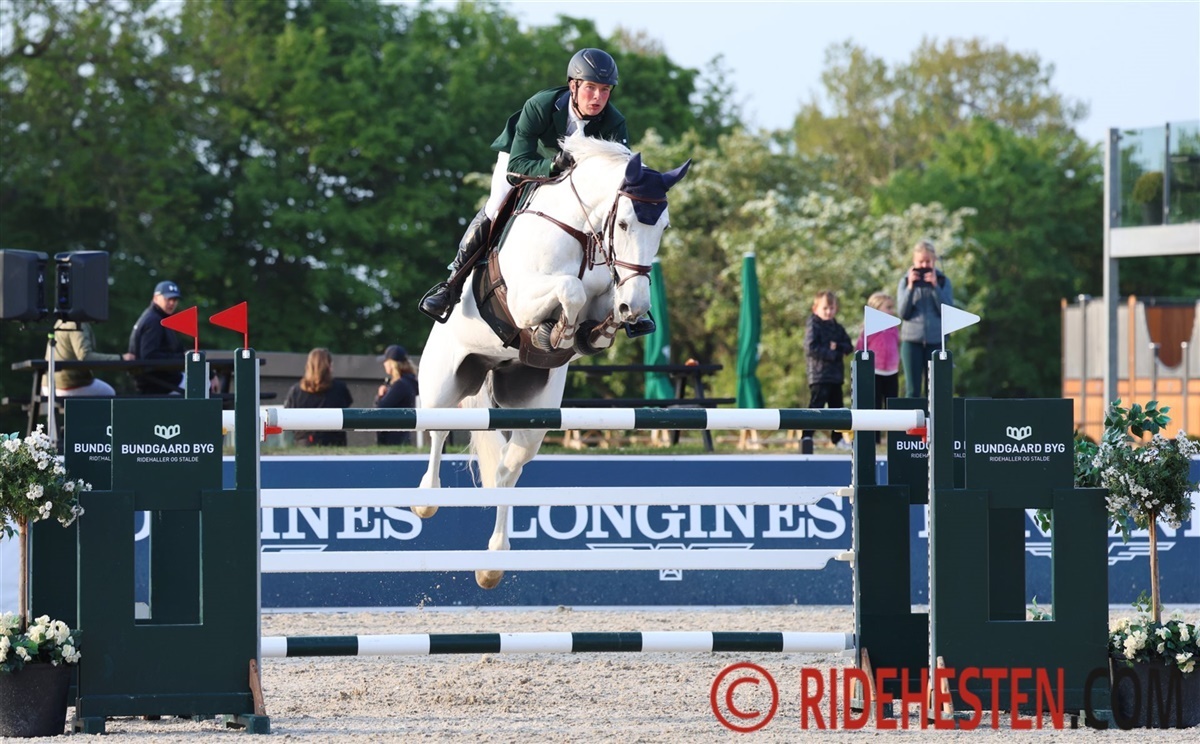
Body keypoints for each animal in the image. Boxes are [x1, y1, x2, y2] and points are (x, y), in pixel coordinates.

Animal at [415, 134, 691, 589]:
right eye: (624, 224)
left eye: (664, 228)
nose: (636, 306)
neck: (582, 231)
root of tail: (494, 366)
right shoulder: (524, 300)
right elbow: (569, 291)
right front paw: (557, 329)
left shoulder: (606, 292)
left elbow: (595, 307)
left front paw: (597, 329)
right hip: (444, 382)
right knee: (437, 431)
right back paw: (424, 501)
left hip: (534, 409)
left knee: (507, 470)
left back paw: (492, 564)